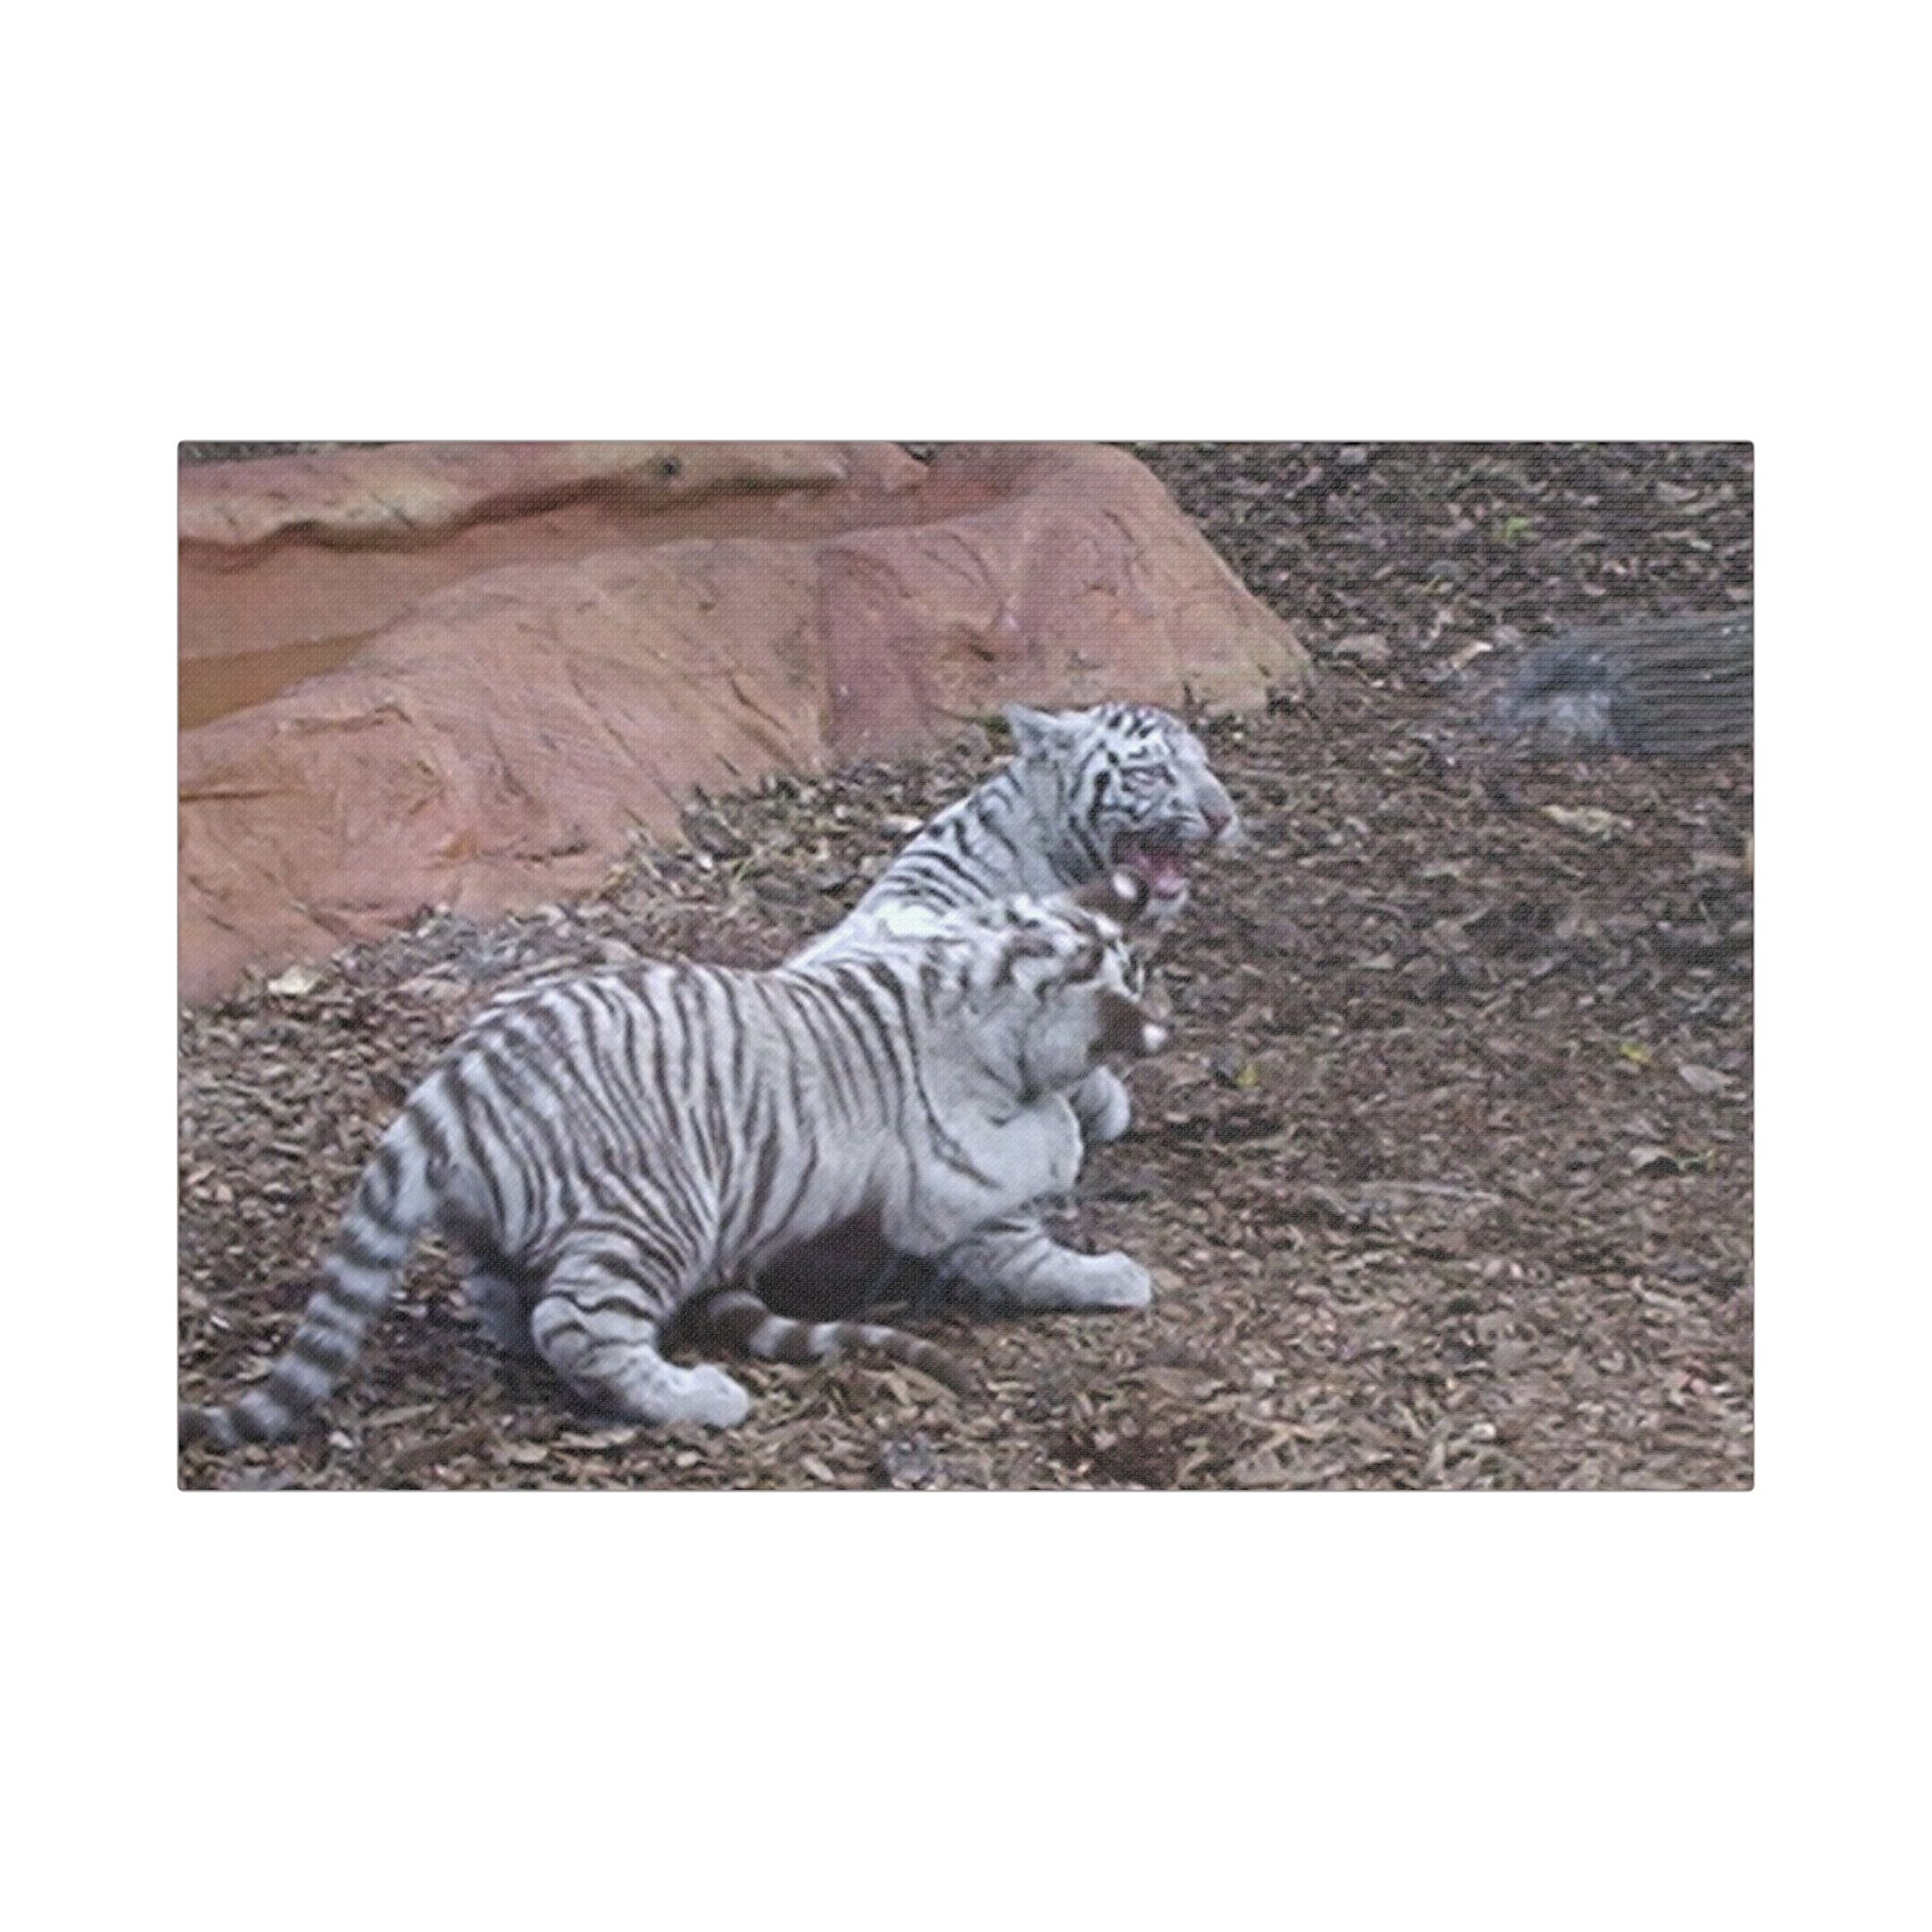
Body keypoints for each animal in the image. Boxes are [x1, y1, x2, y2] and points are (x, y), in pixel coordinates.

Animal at [178, 873, 1168, 1448]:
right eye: (1126, 985)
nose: (1159, 1026)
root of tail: (456, 1082)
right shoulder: (962, 1189)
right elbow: (1032, 1239)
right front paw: (1112, 1269)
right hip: (656, 1213)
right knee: (578, 1325)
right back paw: (696, 1397)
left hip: (505, 1228)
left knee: (508, 1304)